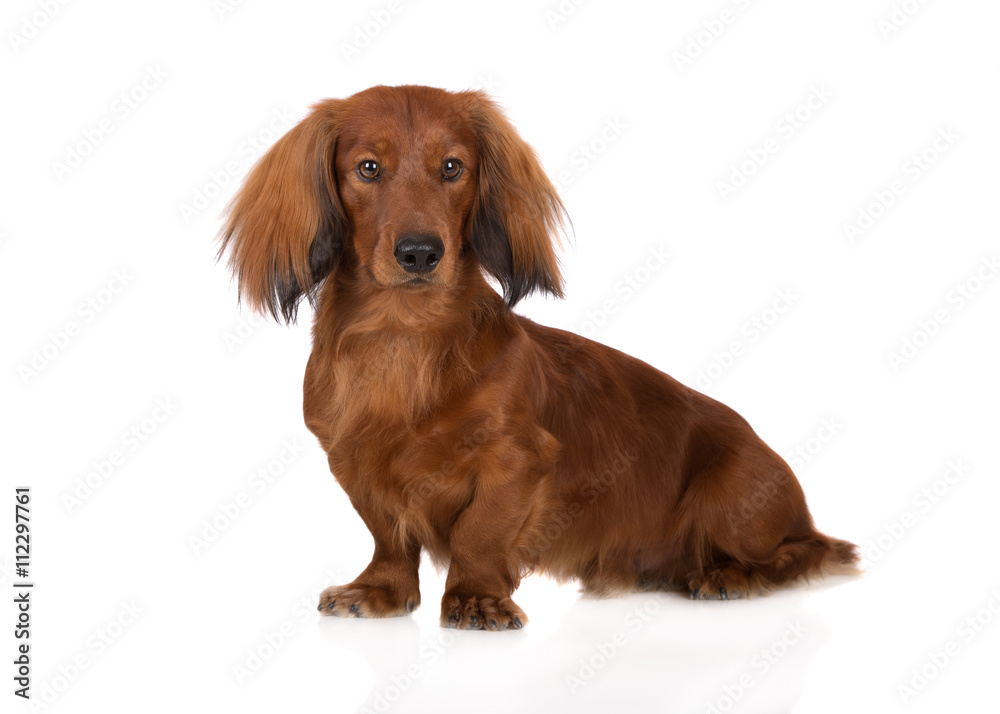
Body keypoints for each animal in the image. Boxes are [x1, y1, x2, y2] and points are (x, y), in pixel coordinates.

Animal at [219, 85, 860, 628]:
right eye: (368, 168)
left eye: (452, 167)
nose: (420, 253)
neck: (405, 340)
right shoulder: (353, 463)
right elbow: (389, 536)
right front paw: (380, 590)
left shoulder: (517, 460)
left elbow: (478, 533)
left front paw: (475, 598)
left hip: (728, 500)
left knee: (806, 552)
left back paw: (728, 575)